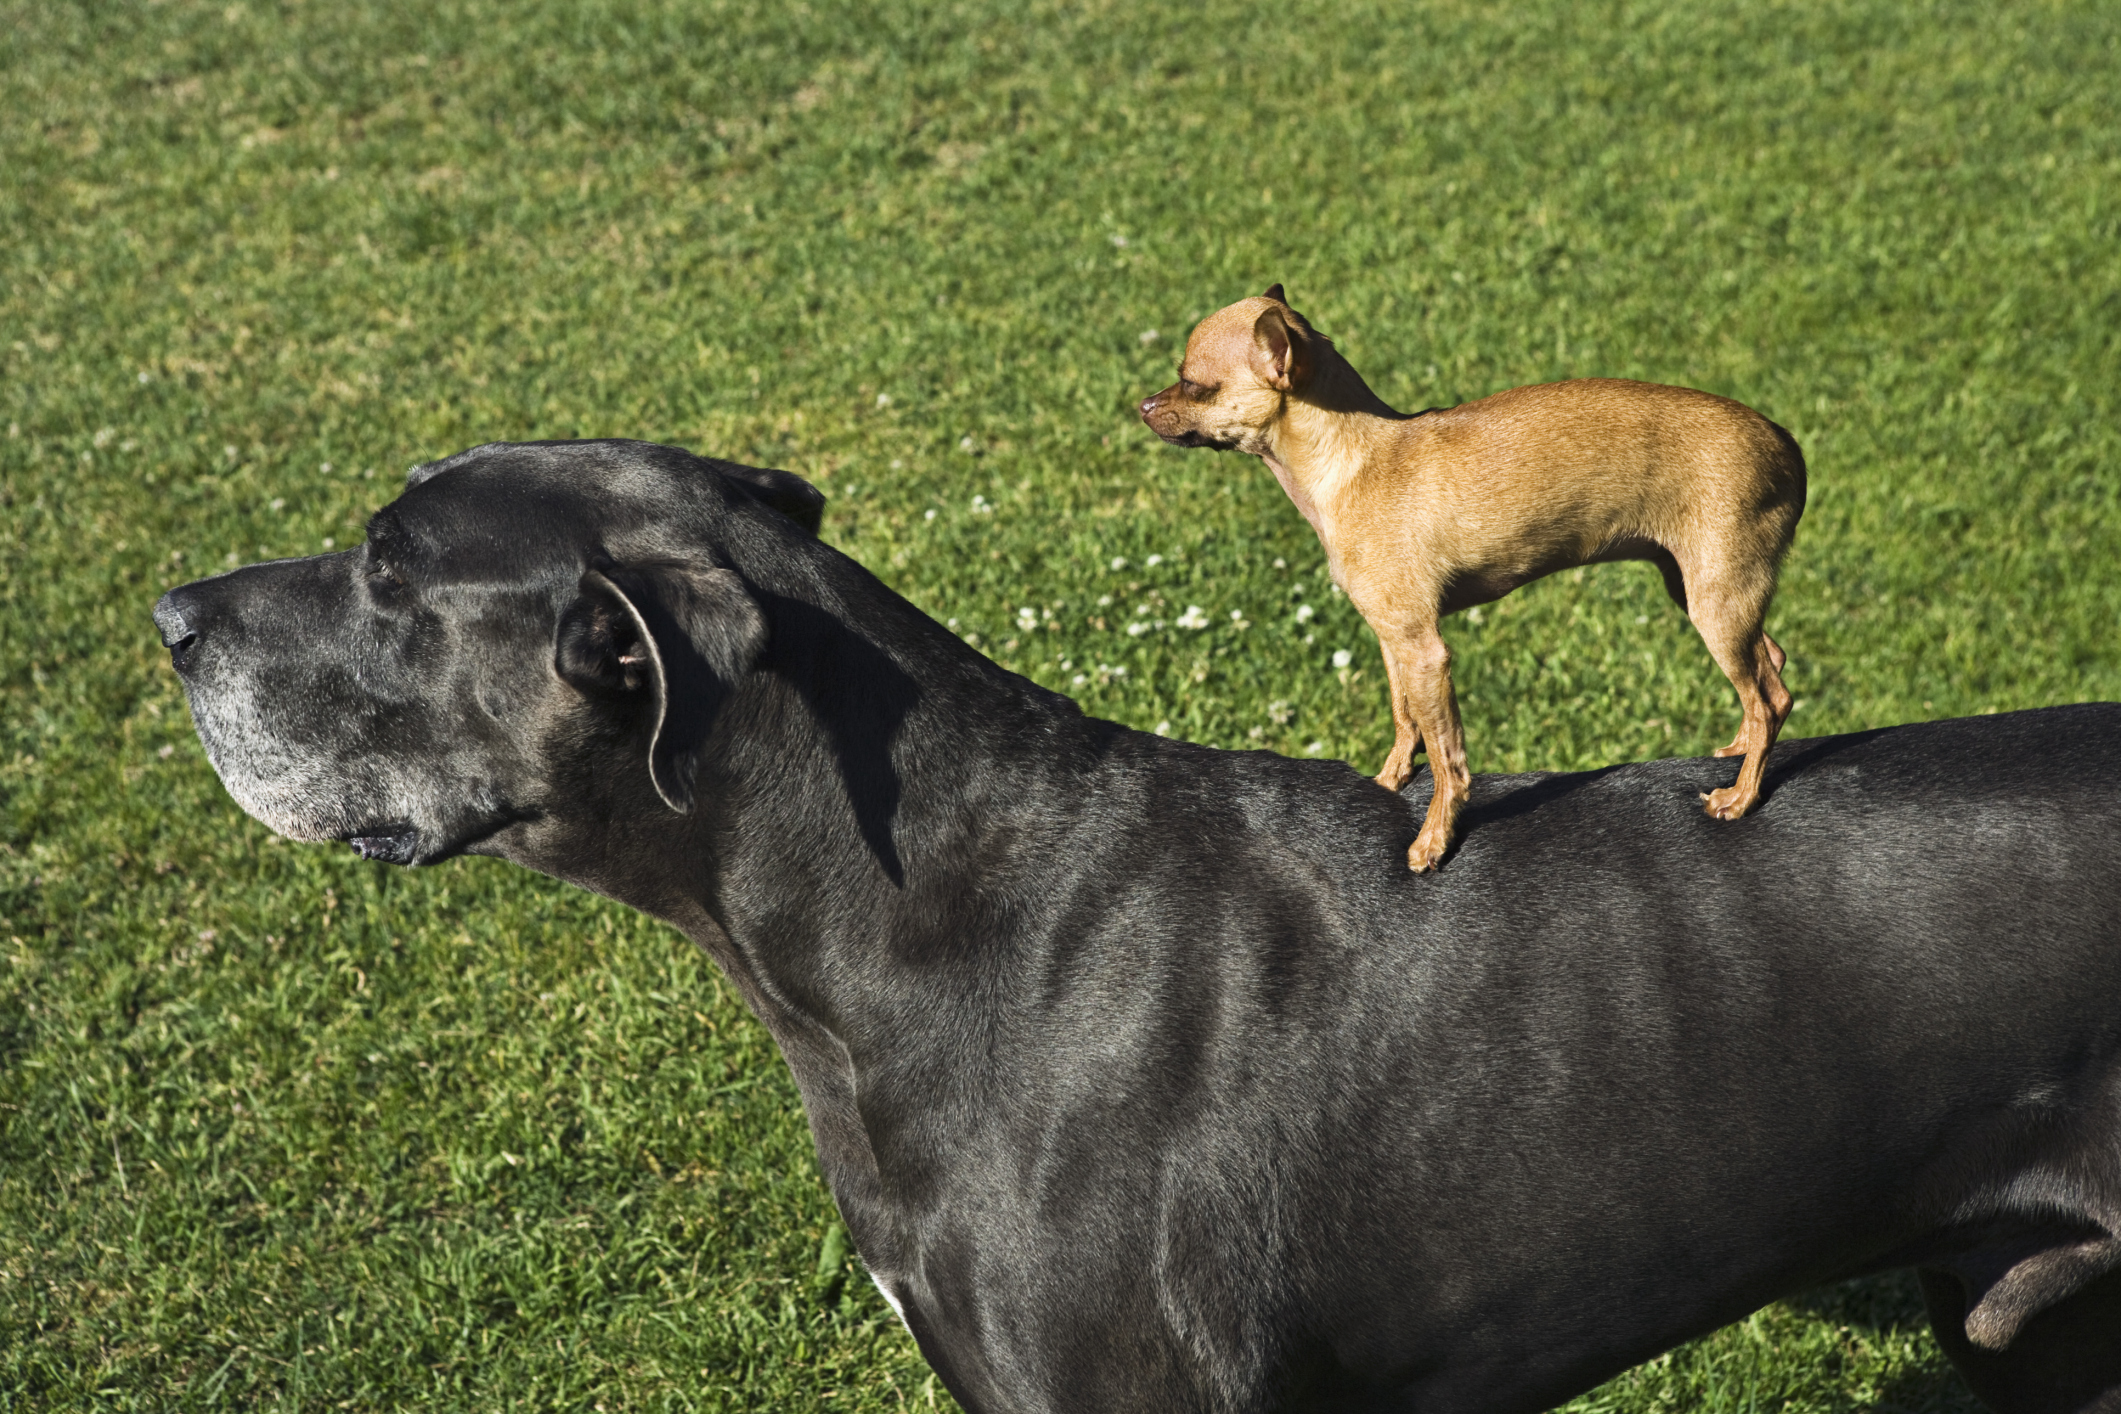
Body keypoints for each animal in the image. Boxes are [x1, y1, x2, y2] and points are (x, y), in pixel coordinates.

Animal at [1145, 281, 1807, 869]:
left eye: (1194, 384)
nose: (1144, 406)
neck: (1352, 461)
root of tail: (1787, 443)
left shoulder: (1424, 651)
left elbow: (1448, 758)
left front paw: (1434, 839)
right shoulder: (1396, 642)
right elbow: (1405, 720)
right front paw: (1389, 780)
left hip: (1716, 602)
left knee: (1770, 698)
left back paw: (1740, 797)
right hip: (1700, 589)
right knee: (1769, 664)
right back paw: (1740, 750)